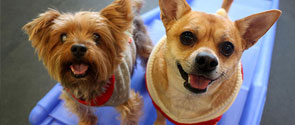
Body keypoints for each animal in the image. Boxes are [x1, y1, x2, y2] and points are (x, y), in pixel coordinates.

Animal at [22, 0, 154, 124]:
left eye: (96, 36)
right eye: (63, 37)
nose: (78, 48)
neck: (87, 83)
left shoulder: (126, 100)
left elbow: (129, 117)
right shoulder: (73, 99)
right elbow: (83, 112)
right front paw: (87, 121)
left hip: (142, 41)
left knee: (147, 54)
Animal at [147, 0, 284, 124]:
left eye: (228, 48)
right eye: (187, 37)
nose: (207, 60)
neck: (188, 97)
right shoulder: (159, 107)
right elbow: (160, 117)